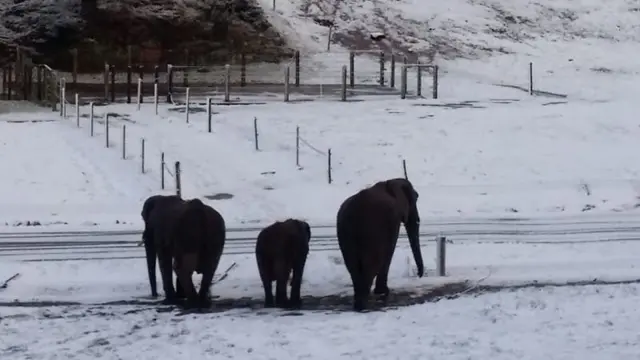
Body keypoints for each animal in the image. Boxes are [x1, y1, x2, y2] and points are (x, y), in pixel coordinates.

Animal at [336, 179, 424, 310]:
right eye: (416, 198)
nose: (418, 274)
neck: (389, 183)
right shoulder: (393, 220)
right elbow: (389, 250)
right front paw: (383, 291)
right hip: (371, 233)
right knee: (371, 264)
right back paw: (363, 303)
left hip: (345, 234)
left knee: (352, 266)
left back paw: (359, 302)